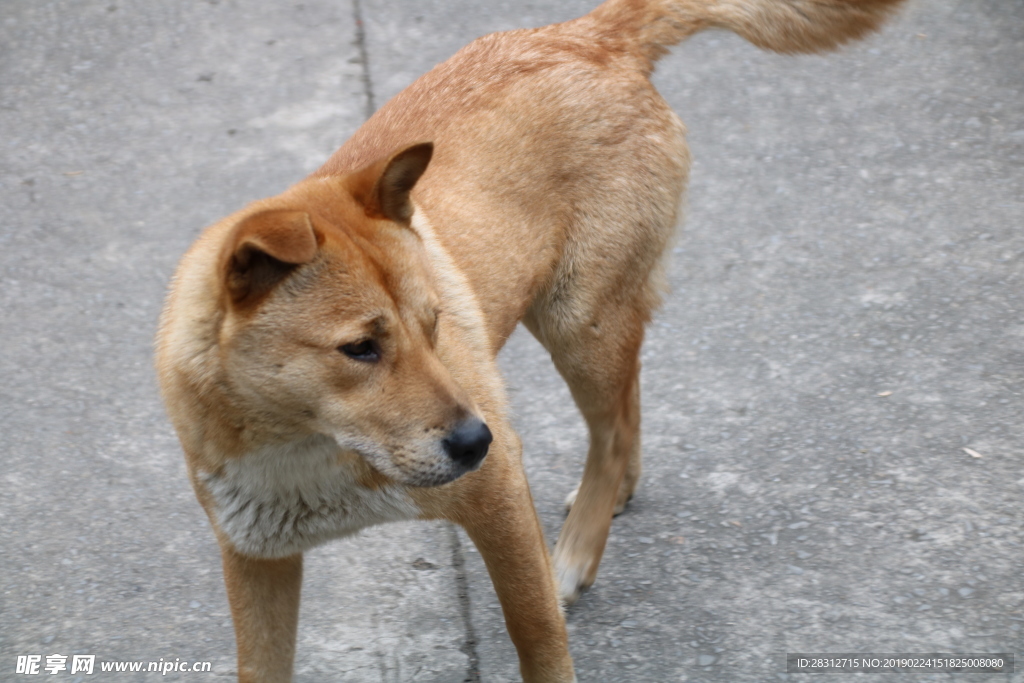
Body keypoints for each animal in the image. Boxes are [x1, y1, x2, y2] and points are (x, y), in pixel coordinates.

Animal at [153, 0, 905, 679]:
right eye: (360, 348)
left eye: (433, 325)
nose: (474, 440)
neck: (308, 451)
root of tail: (589, 34)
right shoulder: (257, 559)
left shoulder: (499, 497)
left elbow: (536, 631)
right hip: (589, 321)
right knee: (627, 396)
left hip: (578, 324)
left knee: (609, 426)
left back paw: (576, 550)